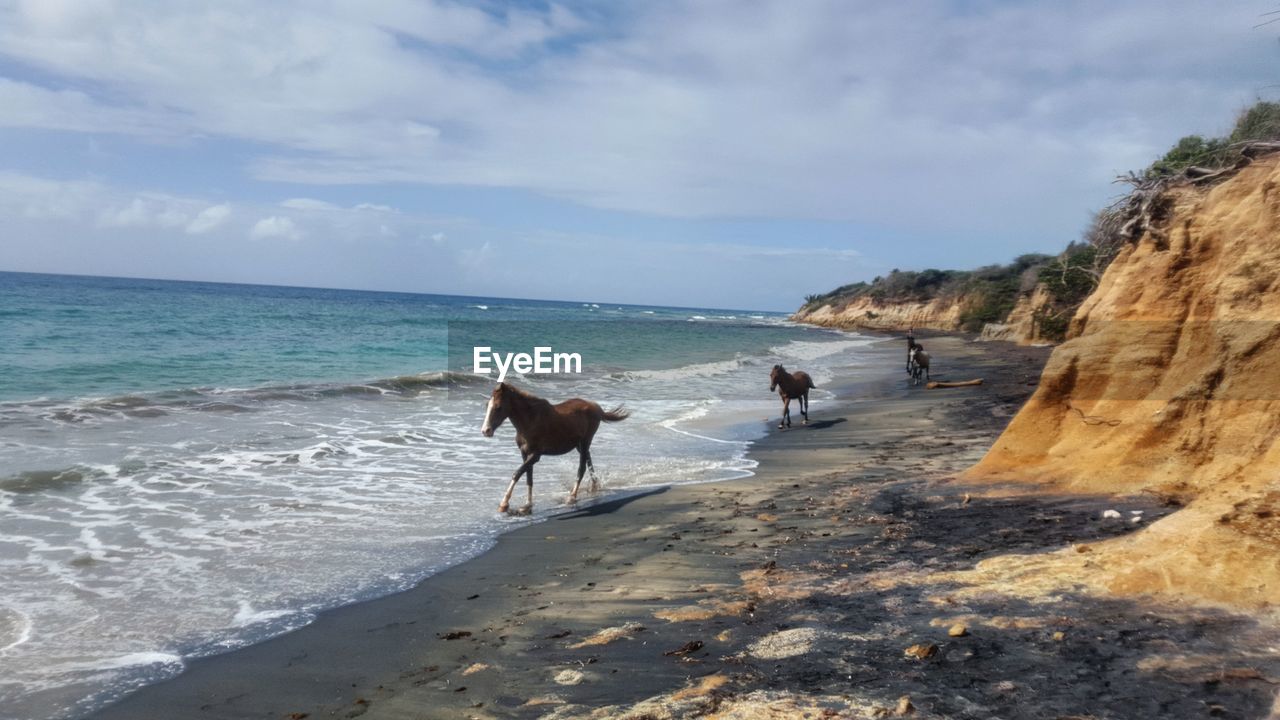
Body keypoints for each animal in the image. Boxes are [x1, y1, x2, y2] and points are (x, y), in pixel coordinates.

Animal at [478, 379, 627, 512]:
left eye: (498, 407)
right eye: (487, 405)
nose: (486, 431)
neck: (529, 420)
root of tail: (595, 407)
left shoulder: (535, 455)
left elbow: (517, 473)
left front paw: (504, 504)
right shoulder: (525, 453)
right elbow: (528, 478)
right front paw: (527, 505)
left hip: (585, 441)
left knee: (582, 467)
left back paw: (572, 497)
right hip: (580, 445)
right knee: (589, 462)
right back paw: (594, 487)